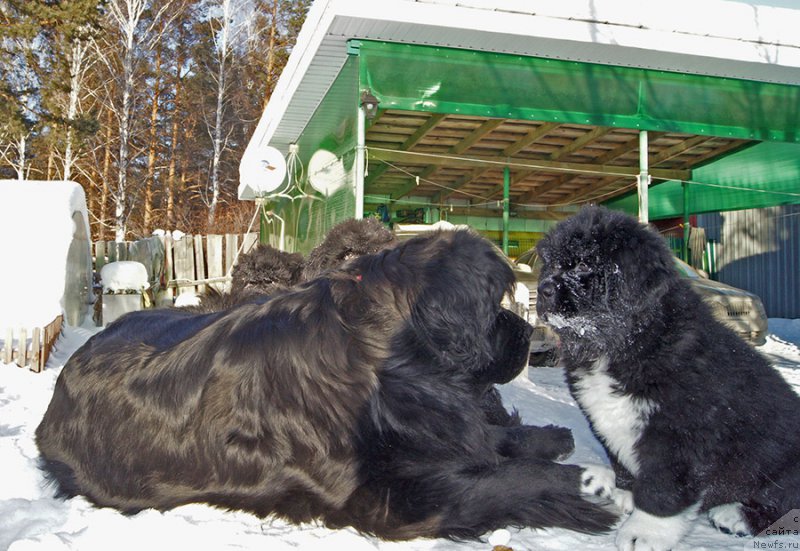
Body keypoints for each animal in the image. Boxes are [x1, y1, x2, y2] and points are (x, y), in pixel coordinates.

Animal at [34, 227, 616, 540]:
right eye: (494, 307)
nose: (528, 333)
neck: (386, 357)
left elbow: (487, 441)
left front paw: (546, 438)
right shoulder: (390, 496)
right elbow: (499, 478)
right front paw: (583, 486)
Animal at [536, 206, 800, 551]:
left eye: (583, 264)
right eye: (552, 264)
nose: (541, 290)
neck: (625, 342)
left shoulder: (679, 430)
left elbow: (664, 486)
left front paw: (645, 531)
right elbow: (622, 462)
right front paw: (625, 493)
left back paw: (734, 515)